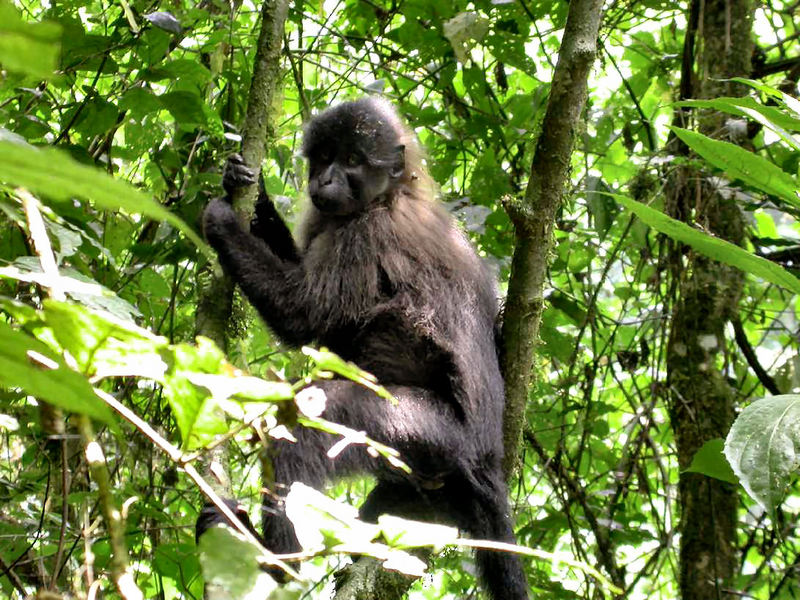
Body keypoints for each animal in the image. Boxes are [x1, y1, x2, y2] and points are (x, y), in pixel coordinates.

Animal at [196, 98, 528, 600]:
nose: (326, 181)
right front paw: (251, 193)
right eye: (324, 157)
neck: (389, 195)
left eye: (352, 160)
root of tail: (487, 457)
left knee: (303, 427)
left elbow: (302, 316)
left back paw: (274, 564)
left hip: (426, 430)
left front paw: (223, 222)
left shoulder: (369, 233)